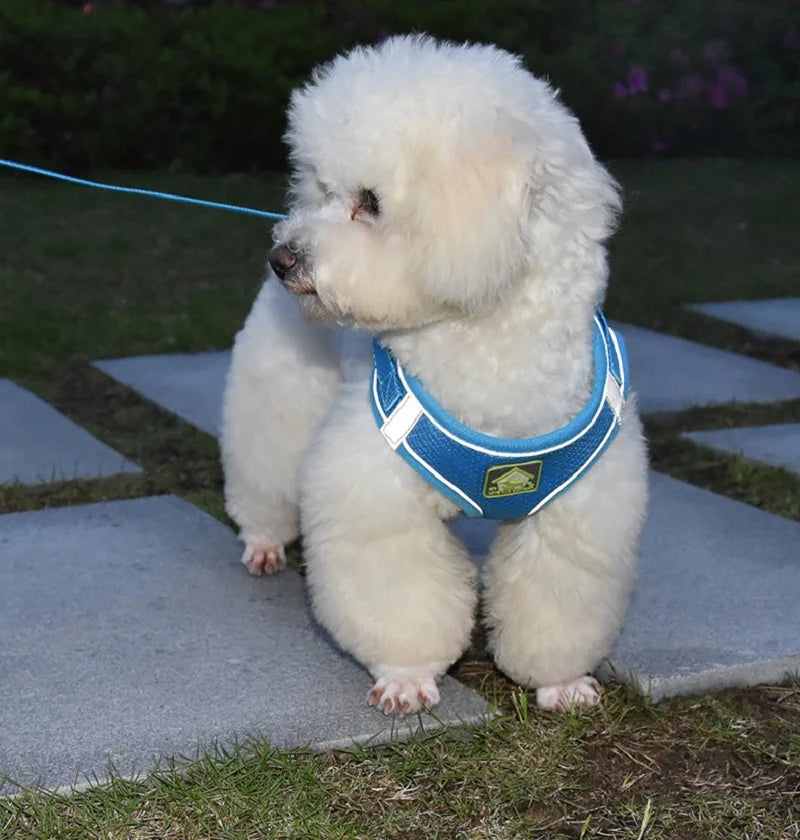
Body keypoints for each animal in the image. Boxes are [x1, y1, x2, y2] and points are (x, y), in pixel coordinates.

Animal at [220, 34, 648, 716]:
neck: (489, 340)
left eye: (369, 202)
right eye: (321, 189)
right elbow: (399, 598)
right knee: (261, 478)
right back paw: (262, 542)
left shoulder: (577, 516)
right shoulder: (375, 498)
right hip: (278, 397)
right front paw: (407, 677)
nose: (282, 258)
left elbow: (554, 607)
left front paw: (559, 682)